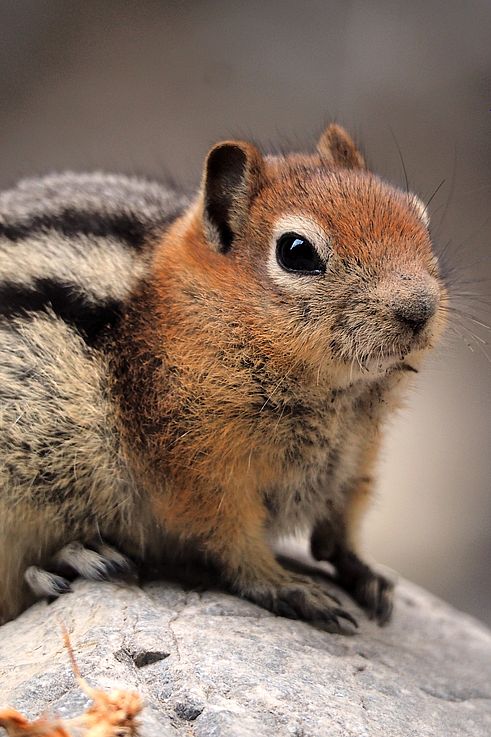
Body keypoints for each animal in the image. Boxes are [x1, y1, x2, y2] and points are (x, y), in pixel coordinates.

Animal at [0, 124, 446, 628]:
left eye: (421, 218)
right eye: (296, 252)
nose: (420, 309)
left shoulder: (356, 457)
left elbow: (342, 526)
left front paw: (365, 573)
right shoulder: (197, 467)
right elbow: (229, 538)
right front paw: (285, 585)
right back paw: (66, 561)